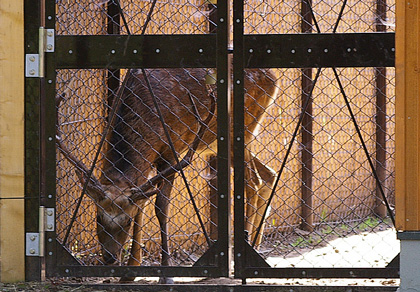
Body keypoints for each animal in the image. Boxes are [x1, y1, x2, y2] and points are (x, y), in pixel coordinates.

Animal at [56, 67, 278, 282]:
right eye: (98, 217)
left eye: (126, 221)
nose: (110, 257)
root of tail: (273, 77)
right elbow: (142, 205)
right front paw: (131, 271)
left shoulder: (173, 151)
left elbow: (161, 208)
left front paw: (166, 273)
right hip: (220, 141)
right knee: (269, 173)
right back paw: (256, 244)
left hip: (245, 128)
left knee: (253, 183)